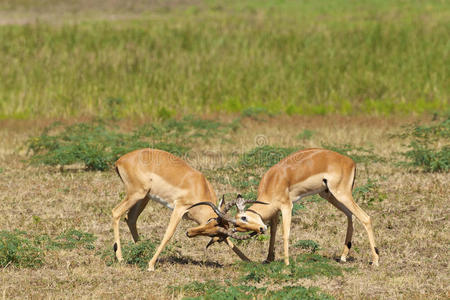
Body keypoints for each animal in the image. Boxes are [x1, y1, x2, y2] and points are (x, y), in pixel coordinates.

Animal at [111, 149, 264, 270]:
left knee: (130, 218)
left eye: (212, 234)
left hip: (144, 197)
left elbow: (231, 243)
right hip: (137, 194)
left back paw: (141, 250)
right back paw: (121, 258)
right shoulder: (179, 208)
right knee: (116, 212)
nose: (189, 233)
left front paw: (250, 262)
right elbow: (168, 234)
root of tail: (120, 161)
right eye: (209, 221)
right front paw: (151, 265)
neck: (199, 187)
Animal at [227, 148, 378, 264]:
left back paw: (375, 260)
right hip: (328, 195)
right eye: (240, 227)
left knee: (365, 218)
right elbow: (273, 233)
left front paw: (286, 264)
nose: (261, 228)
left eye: (244, 218)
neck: (273, 181)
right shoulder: (275, 211)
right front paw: (269, 259)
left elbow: (285, 233)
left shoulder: (287, 206)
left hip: (341, 194)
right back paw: (343, 257)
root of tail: (350, 162)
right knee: (350, 215)